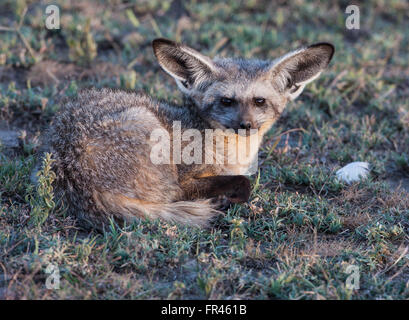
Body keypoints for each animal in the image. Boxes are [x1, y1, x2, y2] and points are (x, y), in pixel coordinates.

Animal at [33, 38, 334, 230]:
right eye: (226, 101)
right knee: (178, 195)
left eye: (259, 101)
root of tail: (77, 178)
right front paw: (227, 194)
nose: (246, 125)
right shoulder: (187, 175)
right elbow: (238, 183)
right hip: (148, 127)